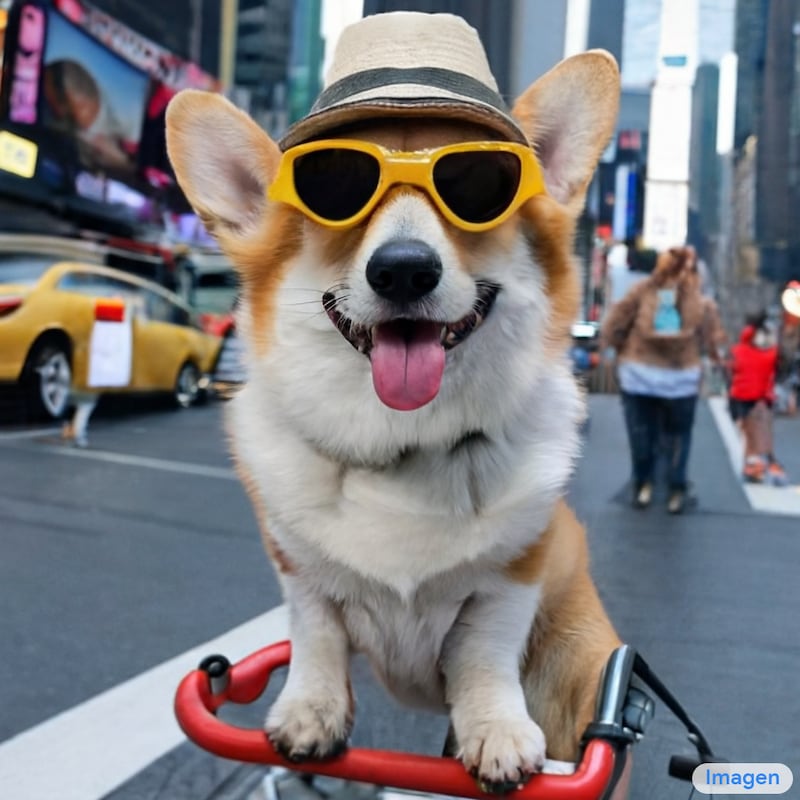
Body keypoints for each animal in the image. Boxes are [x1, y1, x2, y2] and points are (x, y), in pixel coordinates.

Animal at [166, 12, 620, 792]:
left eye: (479, 188)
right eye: (335, 191)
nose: (404, 270)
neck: (405, 444)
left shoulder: (512, 578)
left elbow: (487, 655)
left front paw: (497, 732)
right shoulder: (301, 574)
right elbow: (315, 635)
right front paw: (309, 714)